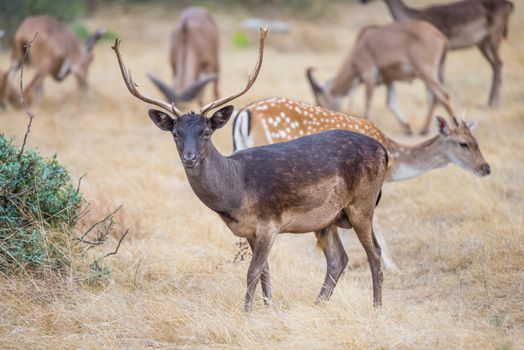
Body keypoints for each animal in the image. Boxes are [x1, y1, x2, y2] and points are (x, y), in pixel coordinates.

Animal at [111, 28, 388, 310]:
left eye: (207, 132)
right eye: (176, 133)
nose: (189, 157)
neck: (236, 192)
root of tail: (383, 149)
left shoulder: (269, 224)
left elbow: (252, 272)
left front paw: (247, 311)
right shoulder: (250, 231)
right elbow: (265, 271)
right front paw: (269, 307)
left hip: (362, 204)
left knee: (374, 252)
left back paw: (376, 307)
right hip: (328, 218)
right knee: (338, 258)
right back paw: (318, 304)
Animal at [233, 98, 492, 270]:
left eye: (477, 141)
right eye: (463, 143)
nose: (486, 168)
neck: (393, 160)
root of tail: (243, 114)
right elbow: (374, 223)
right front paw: (393, 266)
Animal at [308, 19, 454, 135]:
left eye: (320, 102)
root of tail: (440, 37)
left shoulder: (369, 73)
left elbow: (368, 99)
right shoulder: (389, 81)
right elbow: (391, 103)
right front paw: (407, 128)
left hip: (426, 72)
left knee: (443, 96)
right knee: (433, 98)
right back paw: (424, 129)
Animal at [362, 0, 512, 108]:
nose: (362, 1)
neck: (414, 16)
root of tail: (510, 5)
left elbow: (439, 77)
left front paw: (437, 103)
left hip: (494, 36)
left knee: (499, 63)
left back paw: (495, 103)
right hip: (482, 43)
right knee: (495, 65)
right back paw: (490, 101)